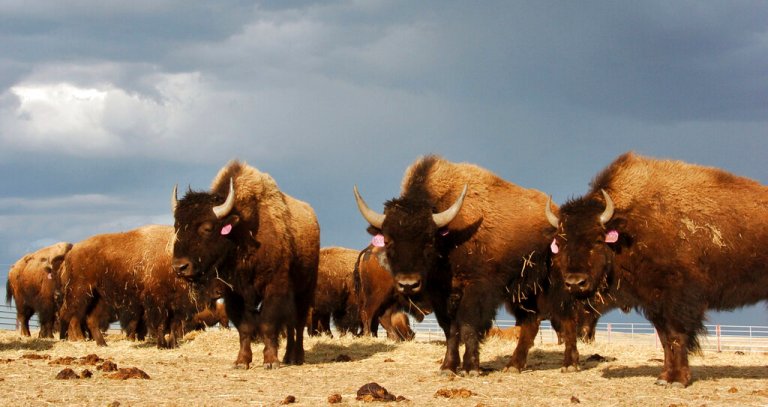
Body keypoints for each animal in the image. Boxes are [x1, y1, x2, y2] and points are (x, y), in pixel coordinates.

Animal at [171, 160, 320, 369]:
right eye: (176, 226)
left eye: (207, 228)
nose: (180, 267)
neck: (241, 231)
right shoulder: (234, 294)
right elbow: (245, 327)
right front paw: (242, 361)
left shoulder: (273, 287)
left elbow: (268, 324)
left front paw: (271, 361)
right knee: (291, 325)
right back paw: (288, 357)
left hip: (304, 290)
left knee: (297, 323)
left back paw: (296, 357)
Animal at [547, 152, 768, 387]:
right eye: (560, 243)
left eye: (598, 240)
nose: (575, 282)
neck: (630, 226)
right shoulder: (654, 304)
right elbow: (664, 340)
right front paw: (664, 377)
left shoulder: (678, 301)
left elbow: (676, 336)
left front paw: (678, 379)